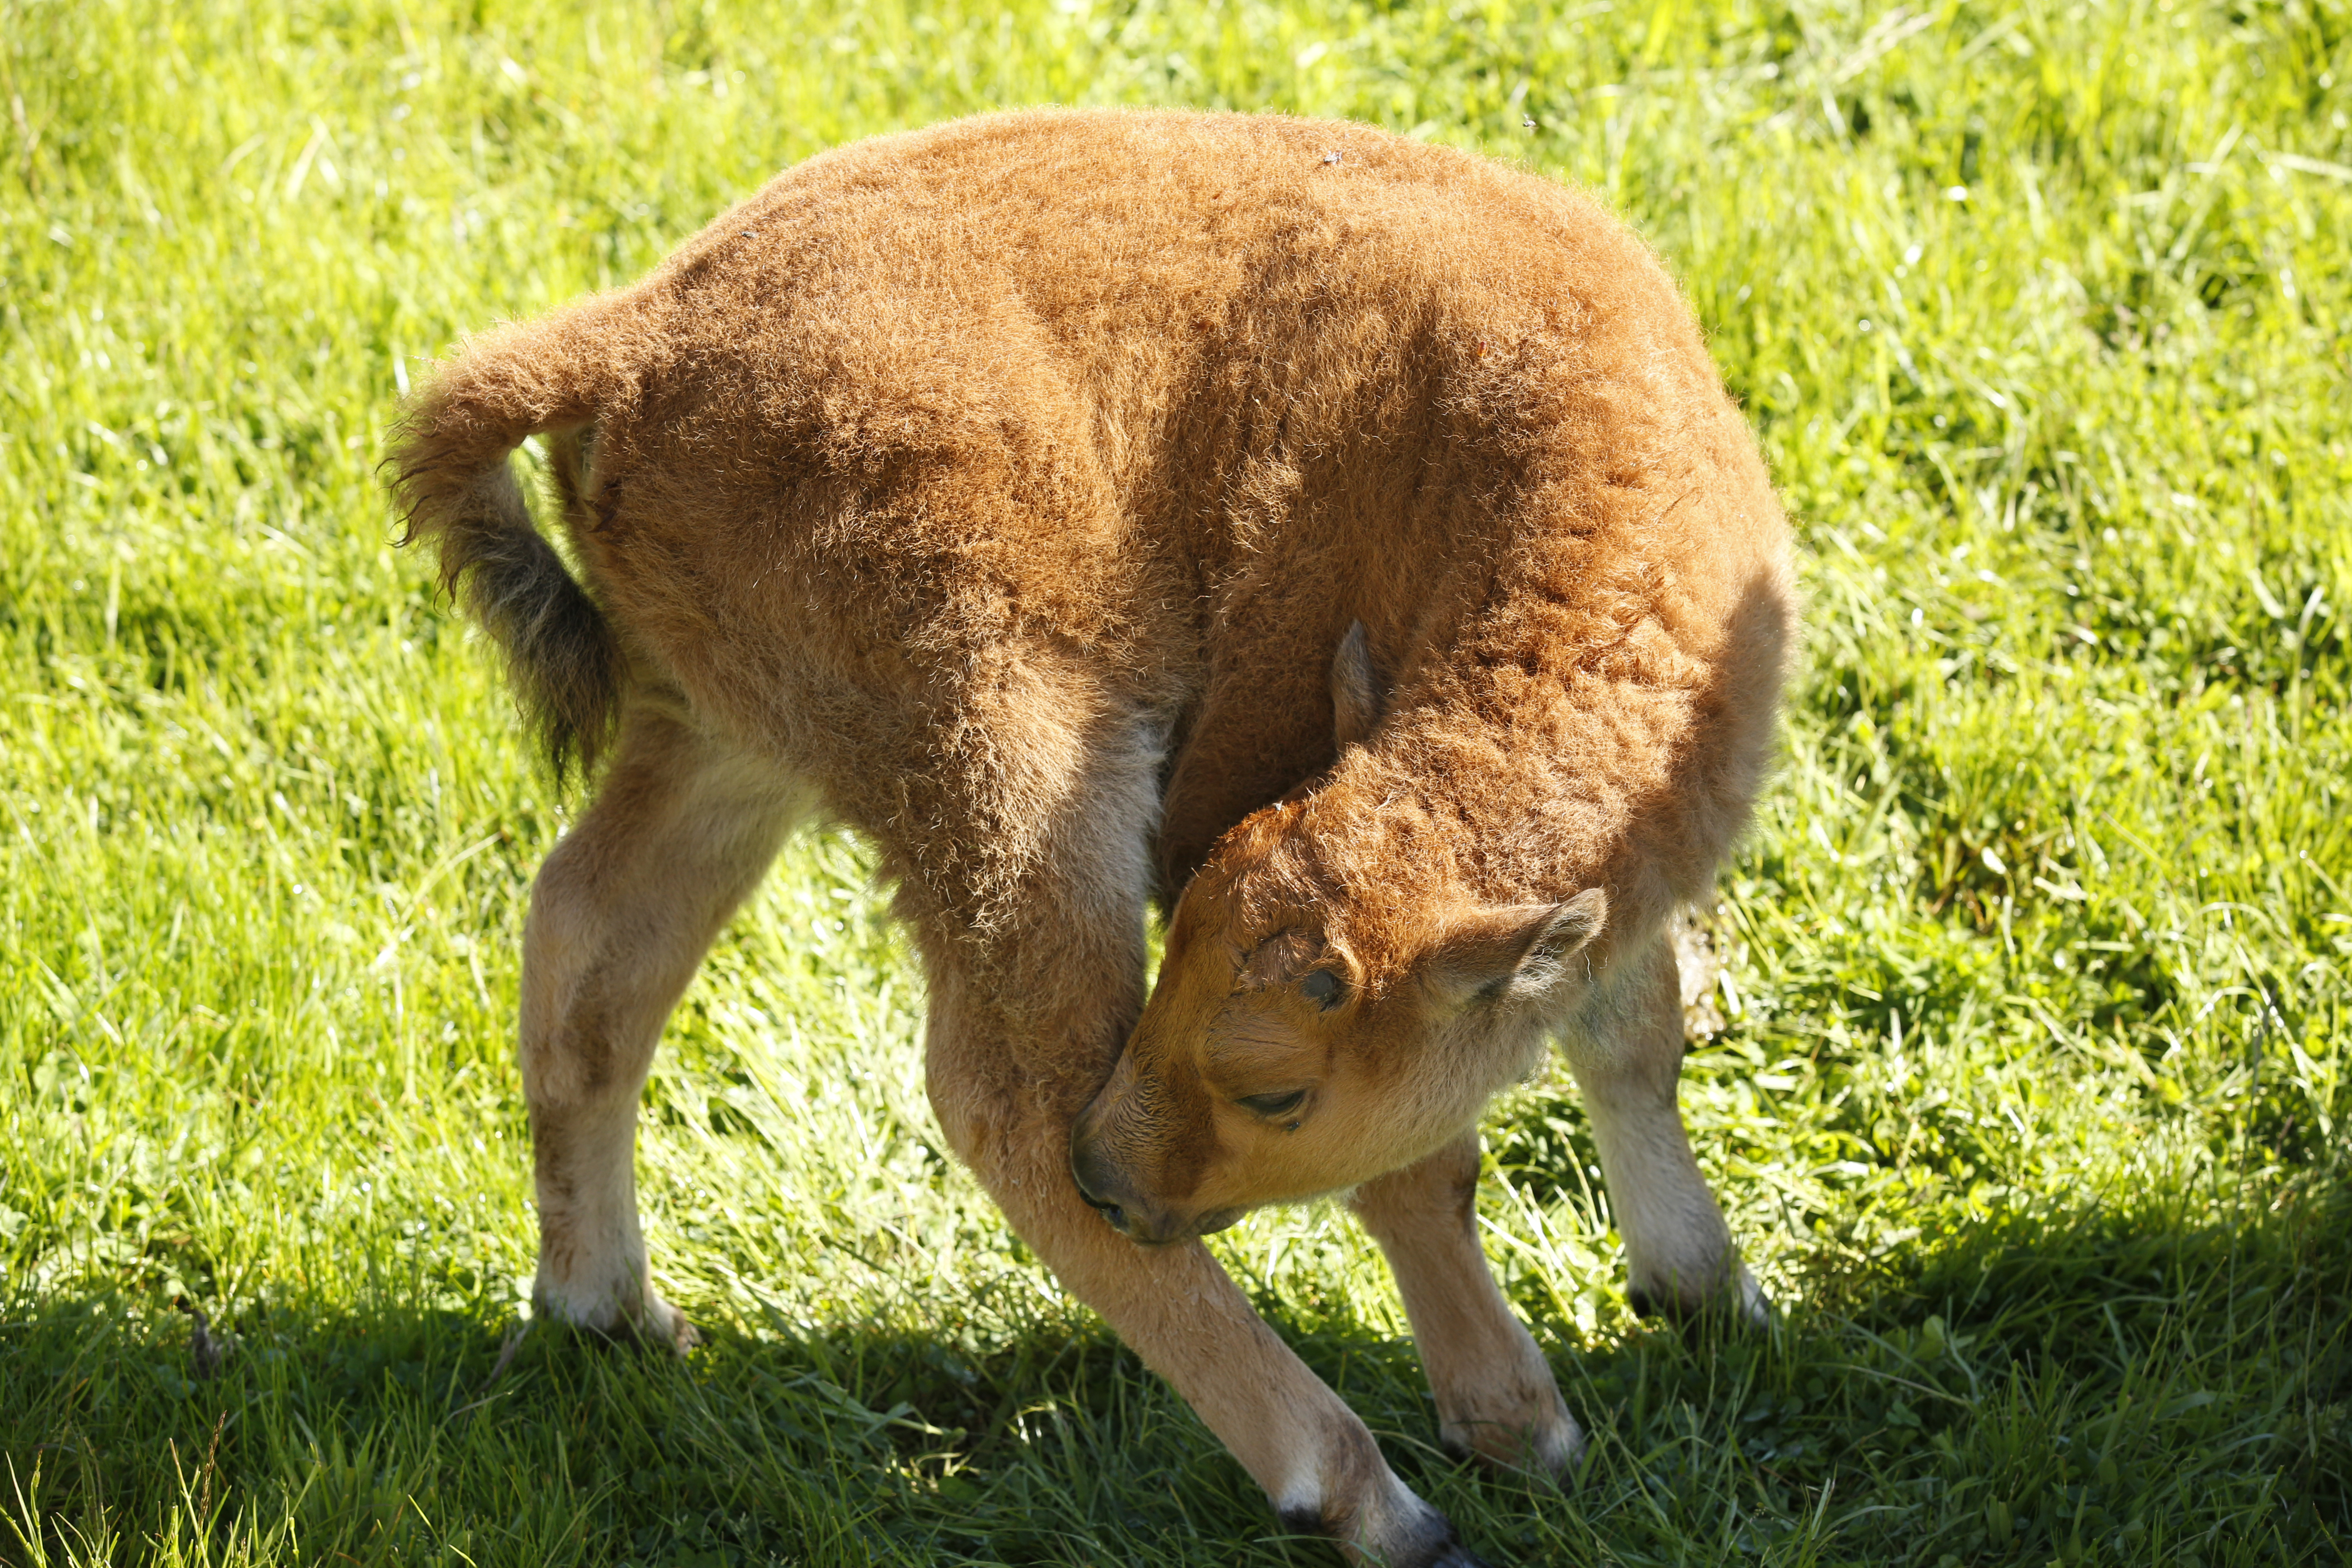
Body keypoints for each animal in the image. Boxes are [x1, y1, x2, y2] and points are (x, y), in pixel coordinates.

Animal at [389, 108, 1795, 1567]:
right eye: (1275, 1087)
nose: (1114, 1180)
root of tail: (633, 335)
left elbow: (1633, 1035)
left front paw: (1710, 1295)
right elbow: (1427, 1165)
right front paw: (1523, 1425)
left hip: (724, 741)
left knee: (592, 951)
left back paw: (610, 1312)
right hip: (1011, 765)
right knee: (1001, 1093)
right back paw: (1366, 1496)